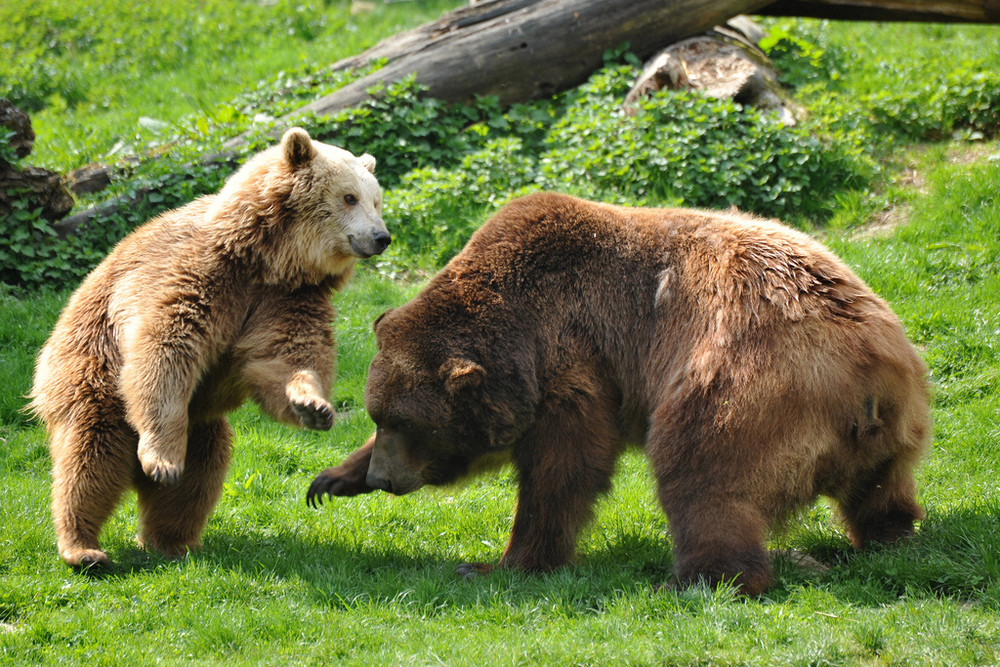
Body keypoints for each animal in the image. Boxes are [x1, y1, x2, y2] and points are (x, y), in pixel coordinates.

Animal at [29, 126, 388, 568]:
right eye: (349, 197)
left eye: (376, 199)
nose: (381, 236)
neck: (268, 259)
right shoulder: (199, 275)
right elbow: (165, 349)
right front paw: (162, 461)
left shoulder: (287, 300)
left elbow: (285, 358)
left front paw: (312, 405)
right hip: (88, 366)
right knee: (89, 455)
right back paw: (83, 547)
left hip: (199, 420)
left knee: (203, 466)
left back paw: (171, 540)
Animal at [308, 192, 932, 596]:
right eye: (379, 416)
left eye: (410, 424)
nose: (384, 479)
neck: (514, 324)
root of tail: (862, 370)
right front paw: (330, 480)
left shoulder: (572, 358)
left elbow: (563, 469)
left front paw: (499, 565)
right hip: (896, 423)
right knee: (881, 491)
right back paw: (889, 535)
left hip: (745, 384)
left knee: (703, 478)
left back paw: (697, 580)